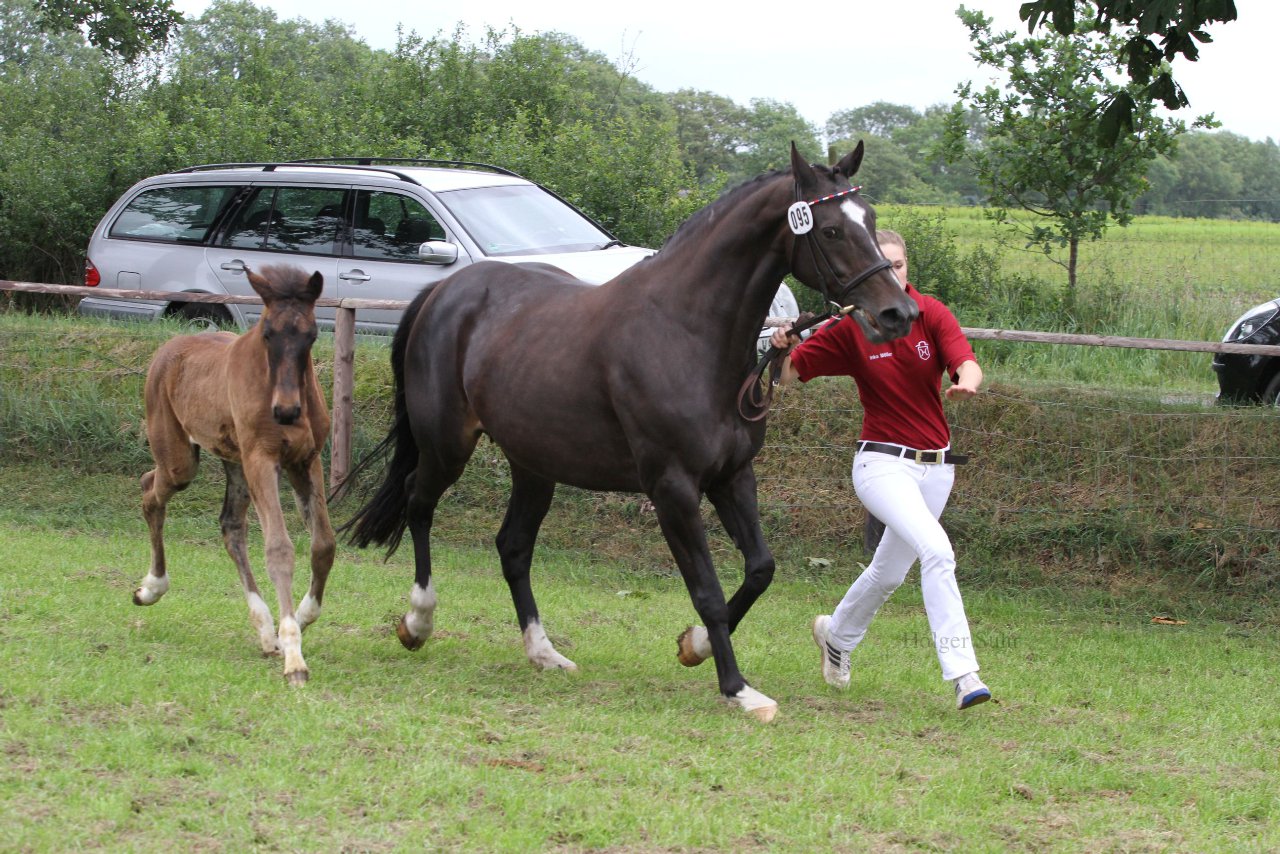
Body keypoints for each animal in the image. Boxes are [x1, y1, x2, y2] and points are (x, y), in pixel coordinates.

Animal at [345, 142, 916, 722]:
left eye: (871, 220)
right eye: (832, 230)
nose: (899, 312)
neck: (688, 333)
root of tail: (444, 290)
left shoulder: (733, 476)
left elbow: (760, 569)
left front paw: (695, 646)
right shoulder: (673, 489)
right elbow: (707, 590)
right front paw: (737, 688)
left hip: (534, 465)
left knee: (513, 547)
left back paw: (543, 652)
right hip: (447, 445)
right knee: (418, 505)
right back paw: (418, 621)